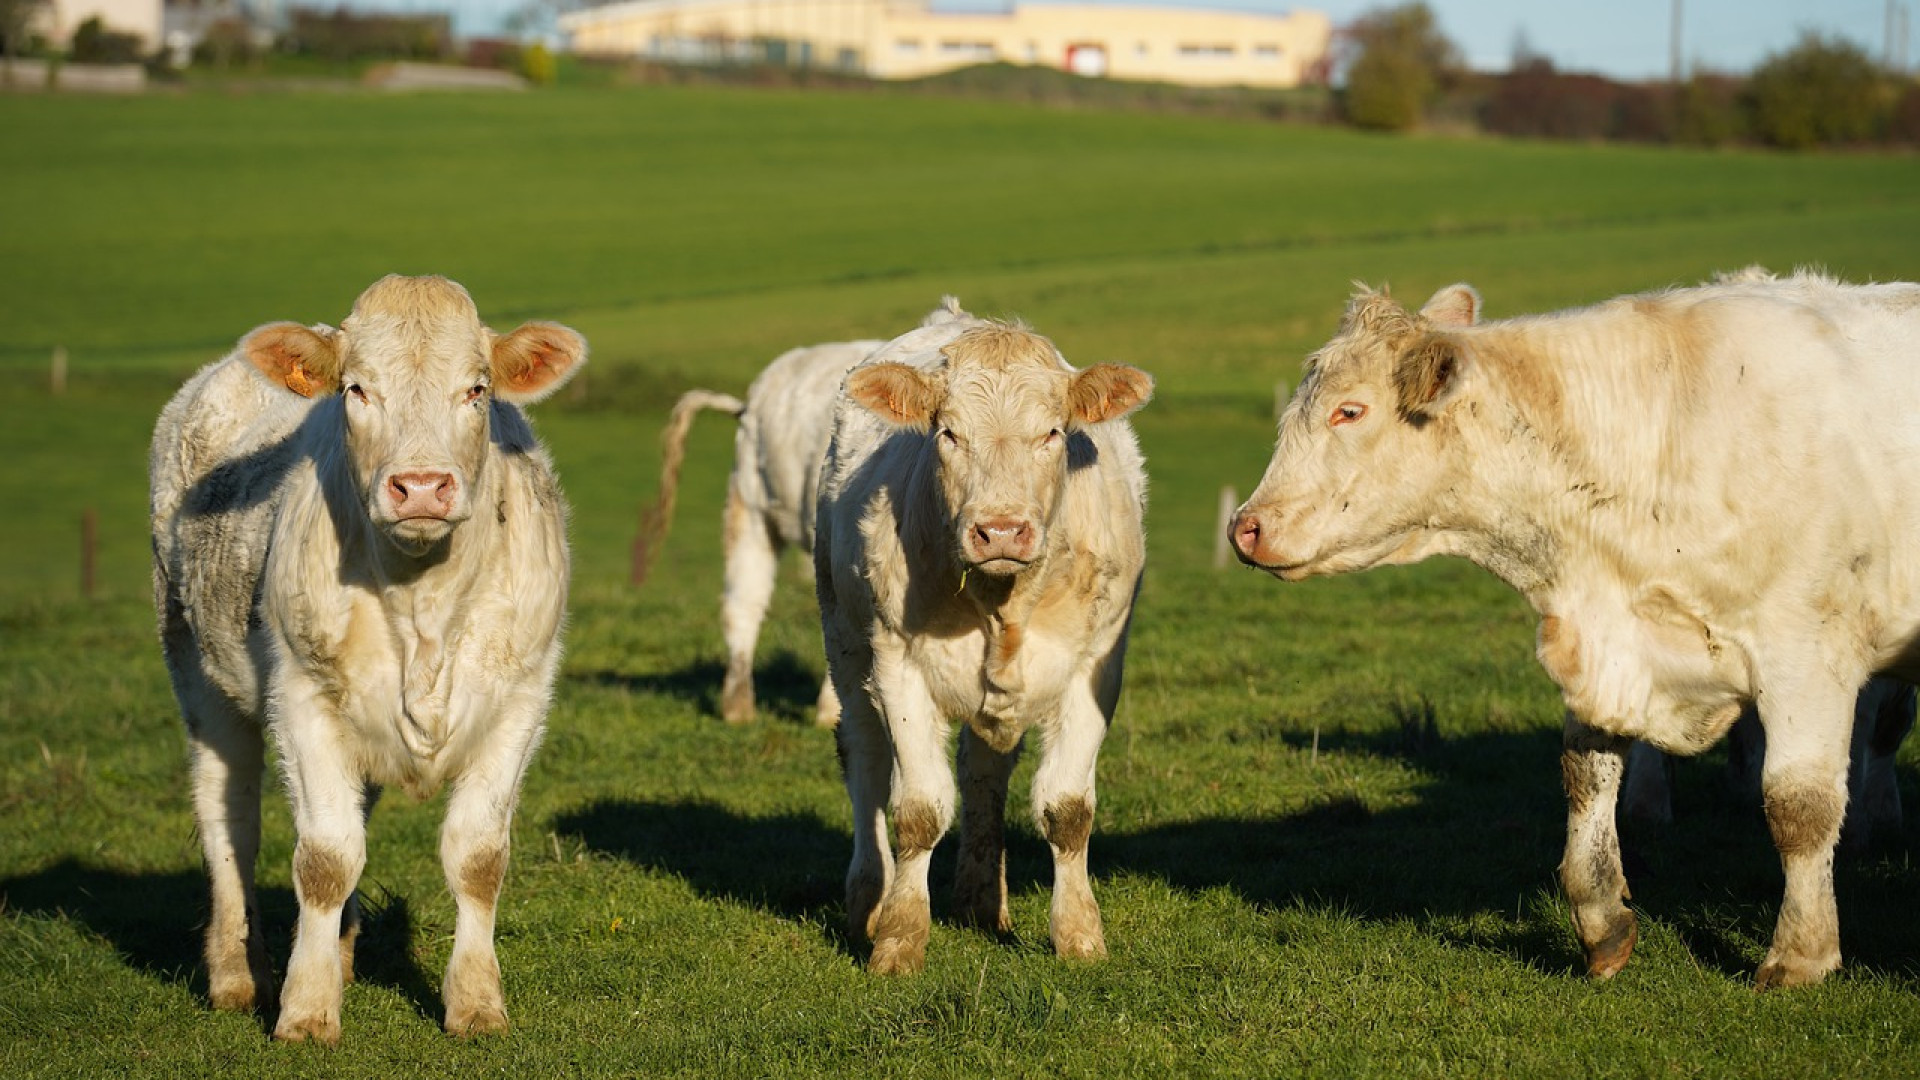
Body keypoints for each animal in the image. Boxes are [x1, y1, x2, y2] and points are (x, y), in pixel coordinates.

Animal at [151, 272, 576, 1037]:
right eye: (356, 390)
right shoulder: (301, 699)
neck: (423, 604)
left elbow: (478, 857)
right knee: (228, 819)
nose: (422, 487)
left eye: (477, 389)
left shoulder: (521, 701)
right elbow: (325, 858)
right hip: (195, 666)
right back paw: (237, 973)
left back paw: (343, 950)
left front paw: (476, 1002)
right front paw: (306, 1008)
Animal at [814, 309, 1144, 968]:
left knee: (983, 774)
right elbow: (917, 810)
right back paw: (868, 902)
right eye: (948, 434)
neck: (1002, 603)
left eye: (1052, 432)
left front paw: (1079, 936)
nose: (1001, 530)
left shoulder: (1096, 667)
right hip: (846, 645)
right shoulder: (899, 665)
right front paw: (899, 940)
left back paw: (979, 900)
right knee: (865, 763)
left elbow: (1068, 810)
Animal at [1228, 269, 1920, 983]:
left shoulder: (1807, 654)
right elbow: (1586, 777)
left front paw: (1800, 954)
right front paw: (1601, 920)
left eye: (1350, 411)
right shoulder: (1609, 649)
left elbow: (1798, 805)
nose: (1244, 527)